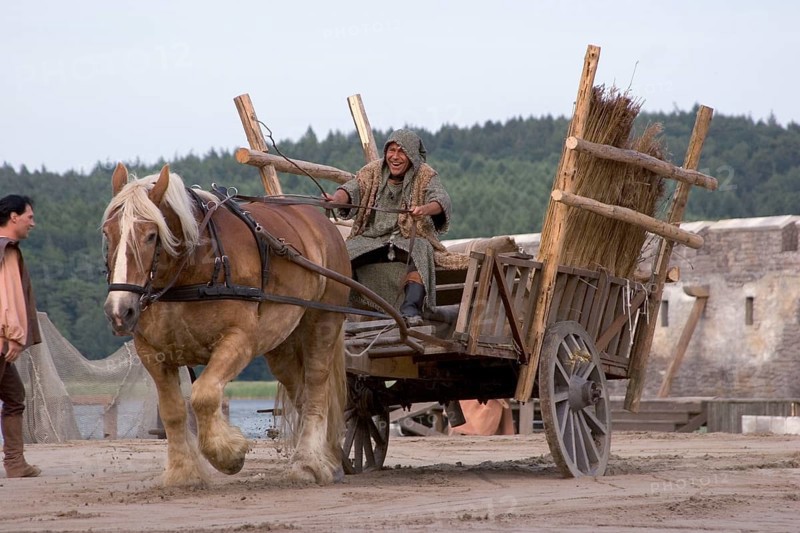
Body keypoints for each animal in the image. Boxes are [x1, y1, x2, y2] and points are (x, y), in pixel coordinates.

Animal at [101, 163, 350, 486]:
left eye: (151, 235)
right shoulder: (151, 353)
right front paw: (182, 472)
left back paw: (307, 462)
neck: (197, 266)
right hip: (281, 344)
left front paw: (228, 453)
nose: (119, 311)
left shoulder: (239, 340)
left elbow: (204, 395)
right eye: (108, 233)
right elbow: (172, 411)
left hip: (323, 321)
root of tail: (323, 223)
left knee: (317, 389)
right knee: (301, 391)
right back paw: (328, 458)